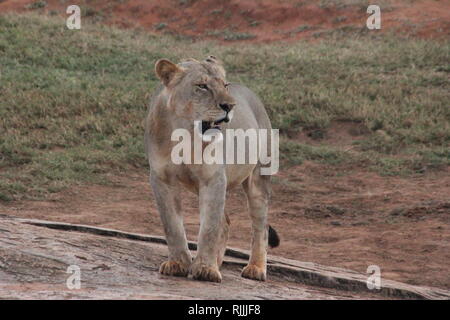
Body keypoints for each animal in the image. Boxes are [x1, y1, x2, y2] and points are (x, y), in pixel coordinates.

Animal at [145, 55, 278, 282]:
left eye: (225, 85)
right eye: (202, 86)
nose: (230, 105)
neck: (186, 135)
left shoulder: (213, 178)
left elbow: (209, 228)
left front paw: (206, 269)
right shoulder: (162, 178)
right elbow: (172, 225)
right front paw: (179, 264)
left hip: (259, 178)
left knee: (260, 226)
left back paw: (256, 268)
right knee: (225, 221)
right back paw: (218, 261)